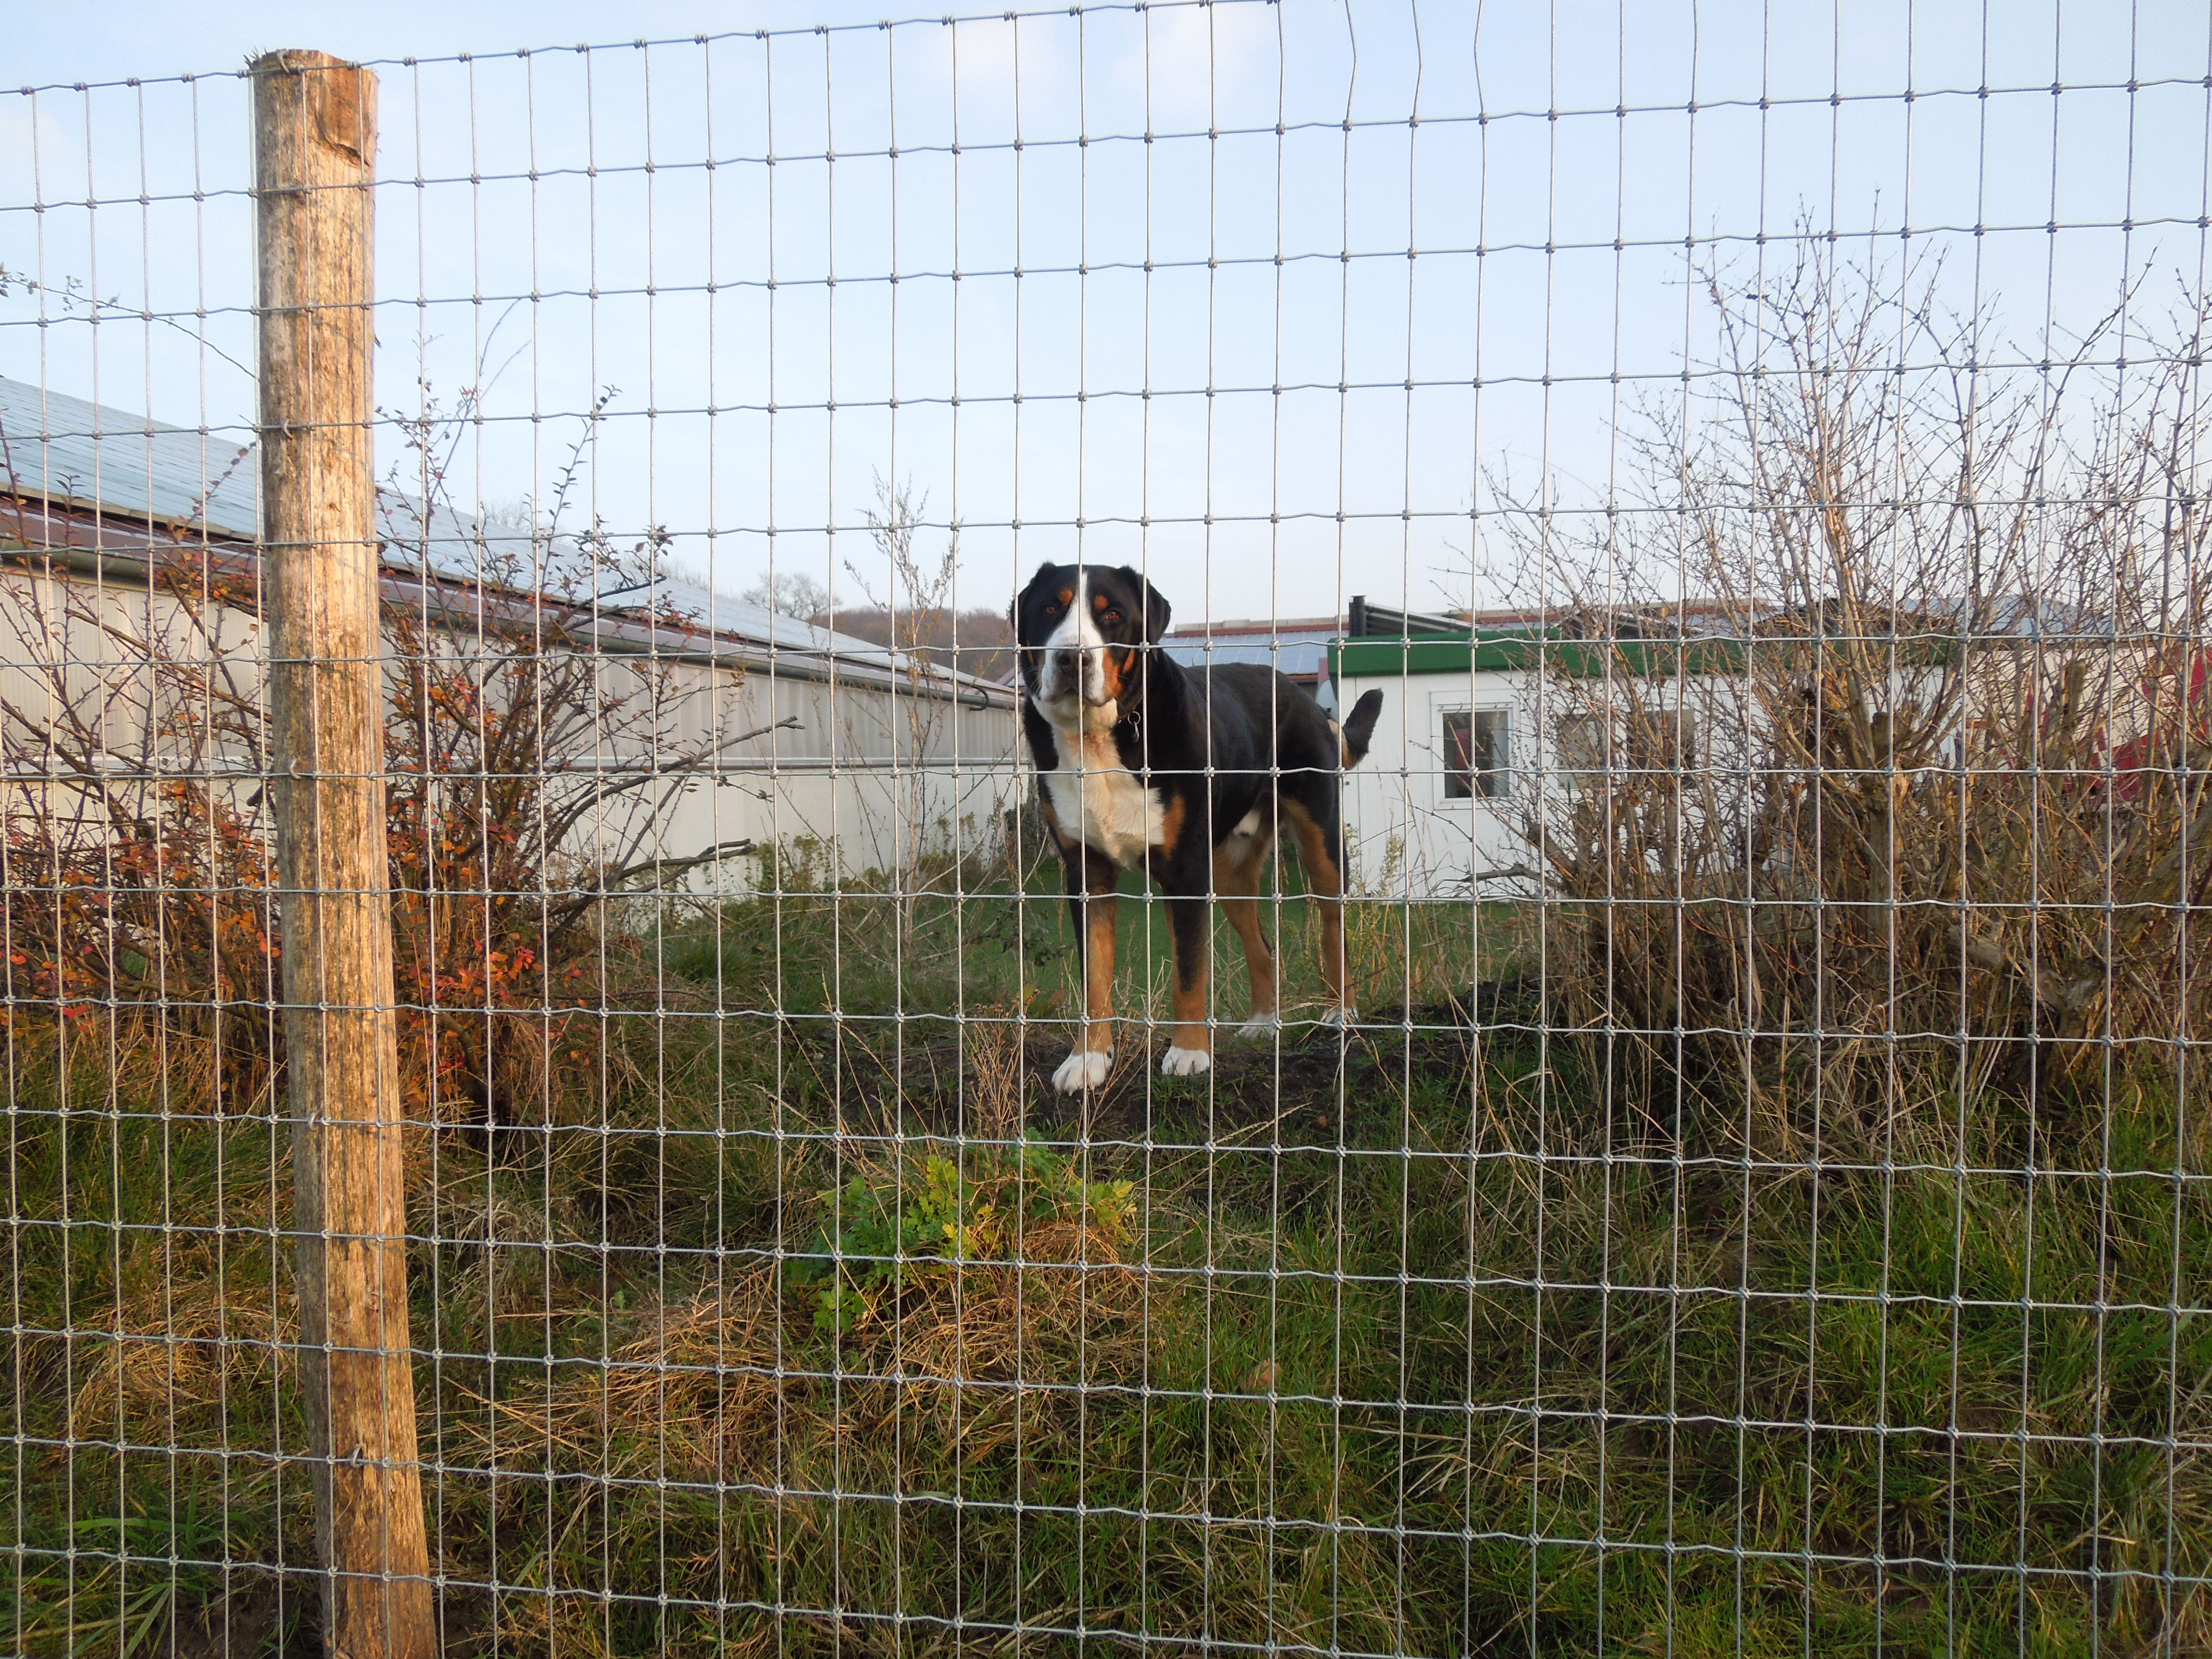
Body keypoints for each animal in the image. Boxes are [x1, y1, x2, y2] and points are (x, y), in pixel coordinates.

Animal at [1013, 566, 1380, 1097]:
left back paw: (1340, 1012)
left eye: (1112, 614)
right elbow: (1094, 979)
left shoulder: (1185, 872)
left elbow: (1188, 973)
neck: (1098, 741)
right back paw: (1263, 1022)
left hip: (1321, 843)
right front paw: (1087, 1062)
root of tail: (1304, 698)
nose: (1071, 658)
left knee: (1334, 928)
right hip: (1229, 873)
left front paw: (1188, 1054)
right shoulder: (1087, 873)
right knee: (1262, 947)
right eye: (1049, 609)